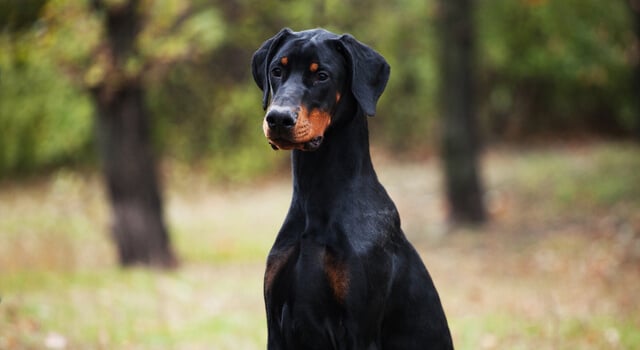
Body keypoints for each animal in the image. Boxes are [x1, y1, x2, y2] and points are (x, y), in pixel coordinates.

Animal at [252, 28, 452, 350]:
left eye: (322, 75)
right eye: (276, 71)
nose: (278, 118)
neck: (317, 198)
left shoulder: (359, 329)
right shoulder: (275, 326)